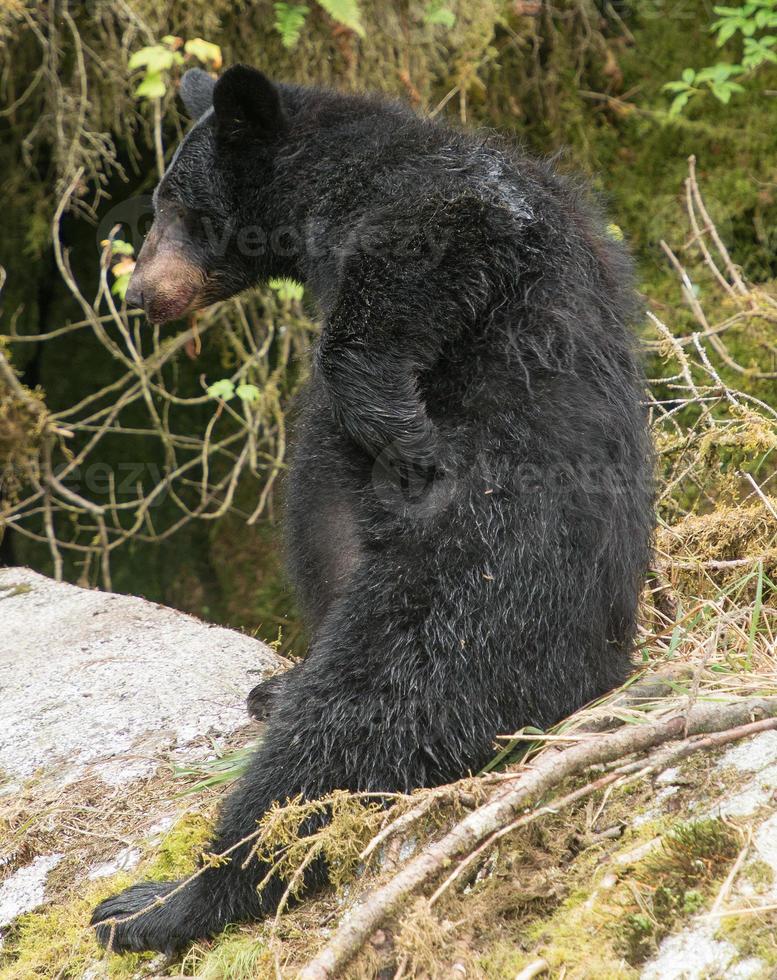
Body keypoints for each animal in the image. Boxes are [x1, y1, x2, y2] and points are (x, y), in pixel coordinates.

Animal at [91, 63, 652, 948]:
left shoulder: (434, 203)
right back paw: (277, 693)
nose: (142, 294)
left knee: (356, 725)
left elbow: (416, 271)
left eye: (180, 208)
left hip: (465, 589)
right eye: (157, 206)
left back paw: (163, 901)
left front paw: (408, 436)